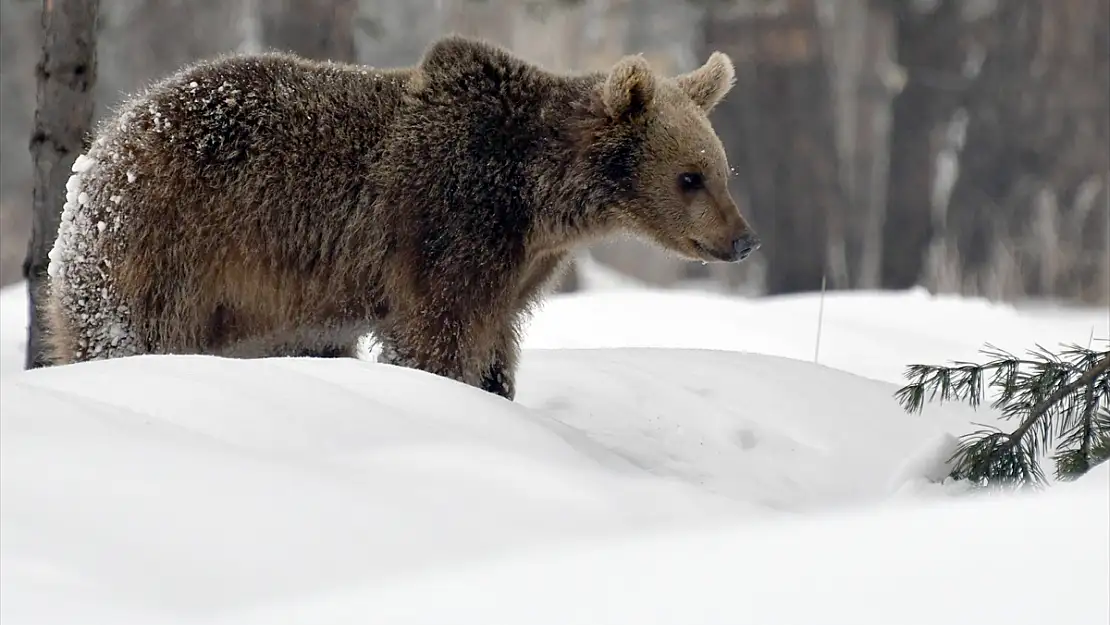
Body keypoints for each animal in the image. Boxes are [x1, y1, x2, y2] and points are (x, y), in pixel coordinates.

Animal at [41, 35, 754, 401]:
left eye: (724, 171)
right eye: (689, 177)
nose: (743, 240)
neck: (538, 196)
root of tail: (104, 144)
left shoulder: (518, 268)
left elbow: (494, 344)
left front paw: (495, 391)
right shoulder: (450, 225)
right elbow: (438, 335)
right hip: (166, 244)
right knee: (125, 332)